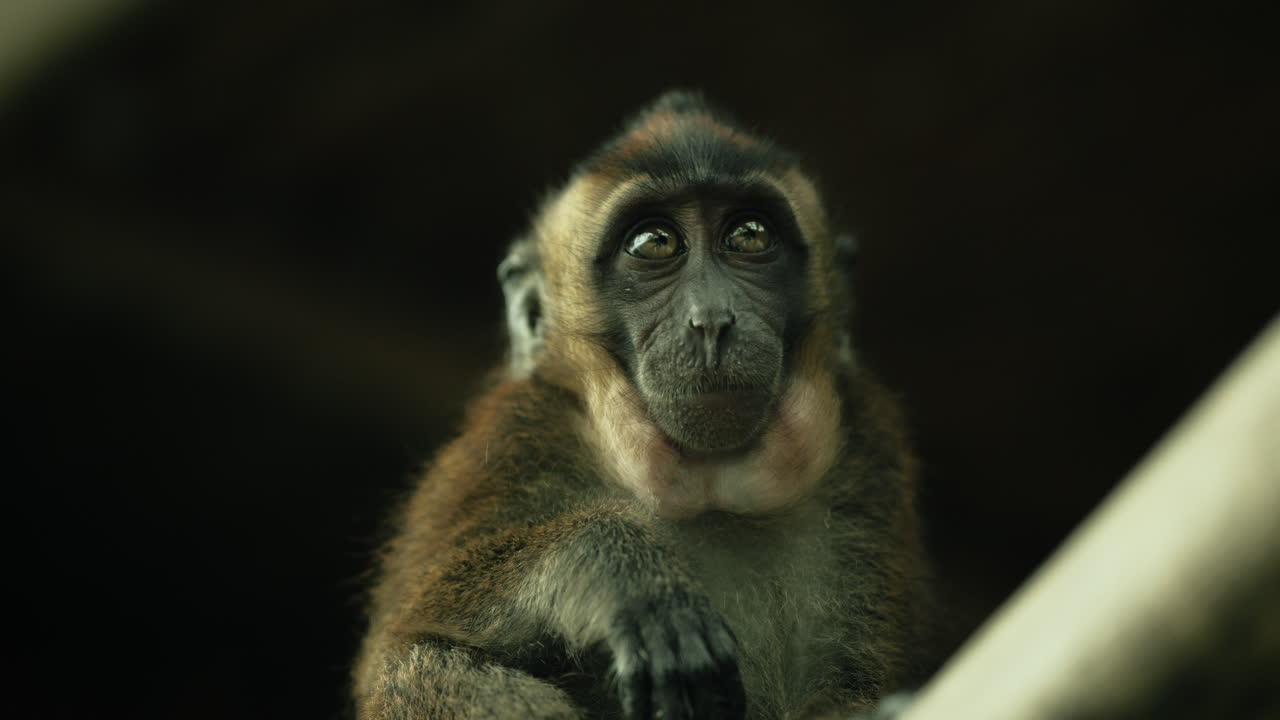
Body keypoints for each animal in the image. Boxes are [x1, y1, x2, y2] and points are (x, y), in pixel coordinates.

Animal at [353, 90, 929, 720]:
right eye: (654, 243)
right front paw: (613, 569)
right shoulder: (513, 440)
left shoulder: (867, 457)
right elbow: (399, 651)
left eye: (749, 236)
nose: (711, 320)